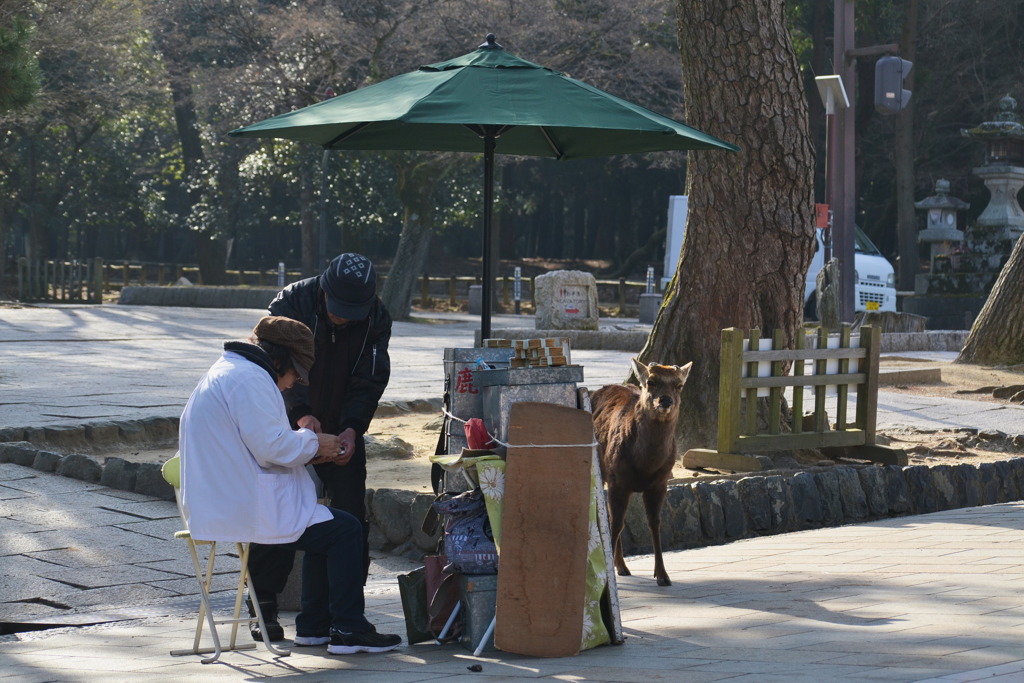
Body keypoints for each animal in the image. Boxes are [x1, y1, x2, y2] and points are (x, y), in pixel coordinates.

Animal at [593, 358, 696, 589]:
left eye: (679, 385)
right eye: (651, 382)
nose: (665, 400)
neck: (645, 464)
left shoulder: (660, 482)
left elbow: (655, 523)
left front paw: (663, 575)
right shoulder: (618, 479)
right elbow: (616, 523)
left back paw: (622, 567)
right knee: (613, 519)